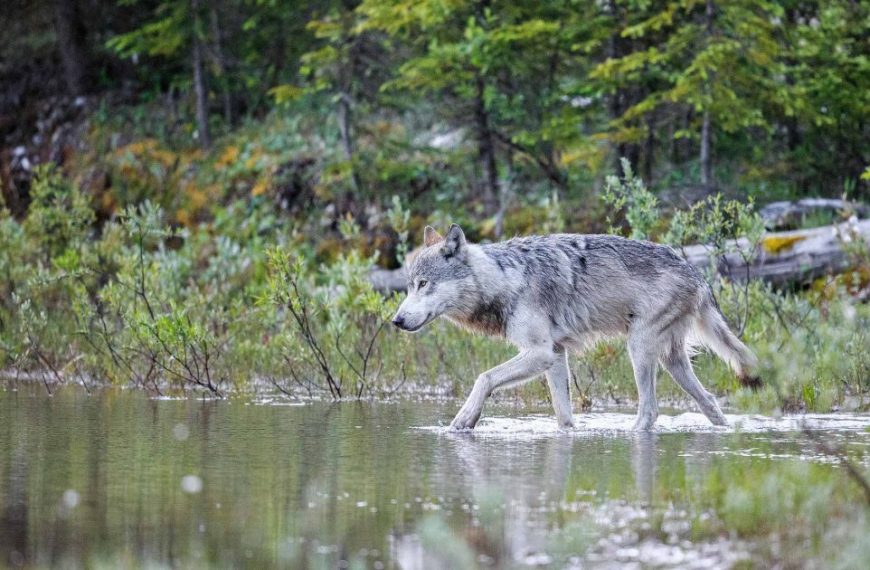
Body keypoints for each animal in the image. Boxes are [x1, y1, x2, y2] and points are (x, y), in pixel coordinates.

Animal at [391, 224, 758, 431]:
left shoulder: (539, 353)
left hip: (639, 350)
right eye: (409, 286)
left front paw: (464, 420)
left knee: (650, 411)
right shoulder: (555, 356)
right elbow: (563, 415)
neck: (506, 279)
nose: (396, 320)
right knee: (710, 402)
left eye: (423, 284)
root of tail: (697, 273)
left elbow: (484, 377)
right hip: (671, 362)